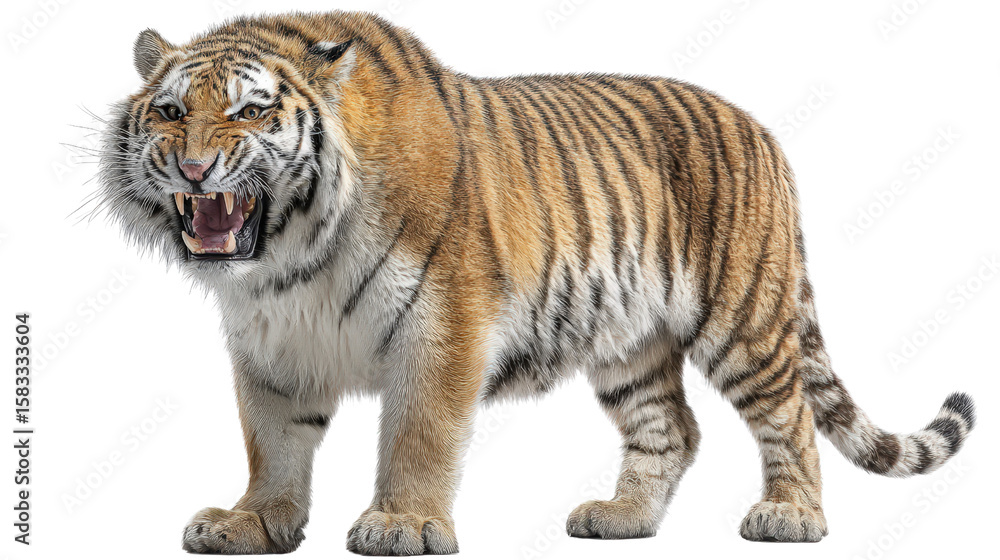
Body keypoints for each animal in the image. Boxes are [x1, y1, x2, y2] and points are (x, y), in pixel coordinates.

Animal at [97, 10, 975, 556]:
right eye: (171, 112)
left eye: (249, 112)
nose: (194, 167)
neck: (288, 259)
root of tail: (763, 130)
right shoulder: (271, 346)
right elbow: (272, 442)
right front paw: (252, 524)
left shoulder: (441, 323)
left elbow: (418, 433)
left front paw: (400, 524)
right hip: (629, 343)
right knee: (672, 428)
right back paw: (622, 518)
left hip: (745, 320)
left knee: (788, 415)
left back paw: (790, 517)